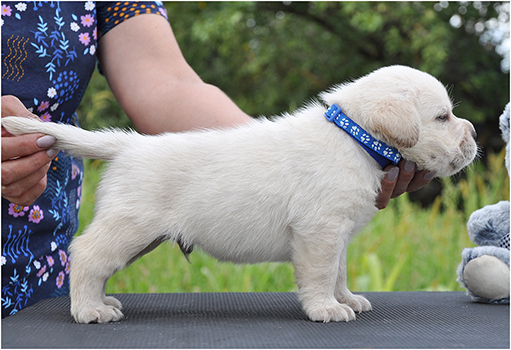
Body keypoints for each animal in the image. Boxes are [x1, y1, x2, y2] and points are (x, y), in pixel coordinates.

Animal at [2, 65, 478, 322]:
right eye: (442, 116)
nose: (474, 134)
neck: (354, 137)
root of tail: (128, 145)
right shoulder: (319, 232)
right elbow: (322, 274)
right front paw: (325, 308)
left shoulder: (336, 233)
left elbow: (340, 272)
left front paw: (346, 299)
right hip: (129, 226)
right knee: (85, 255)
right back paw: (90, 309)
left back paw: (101, 301)